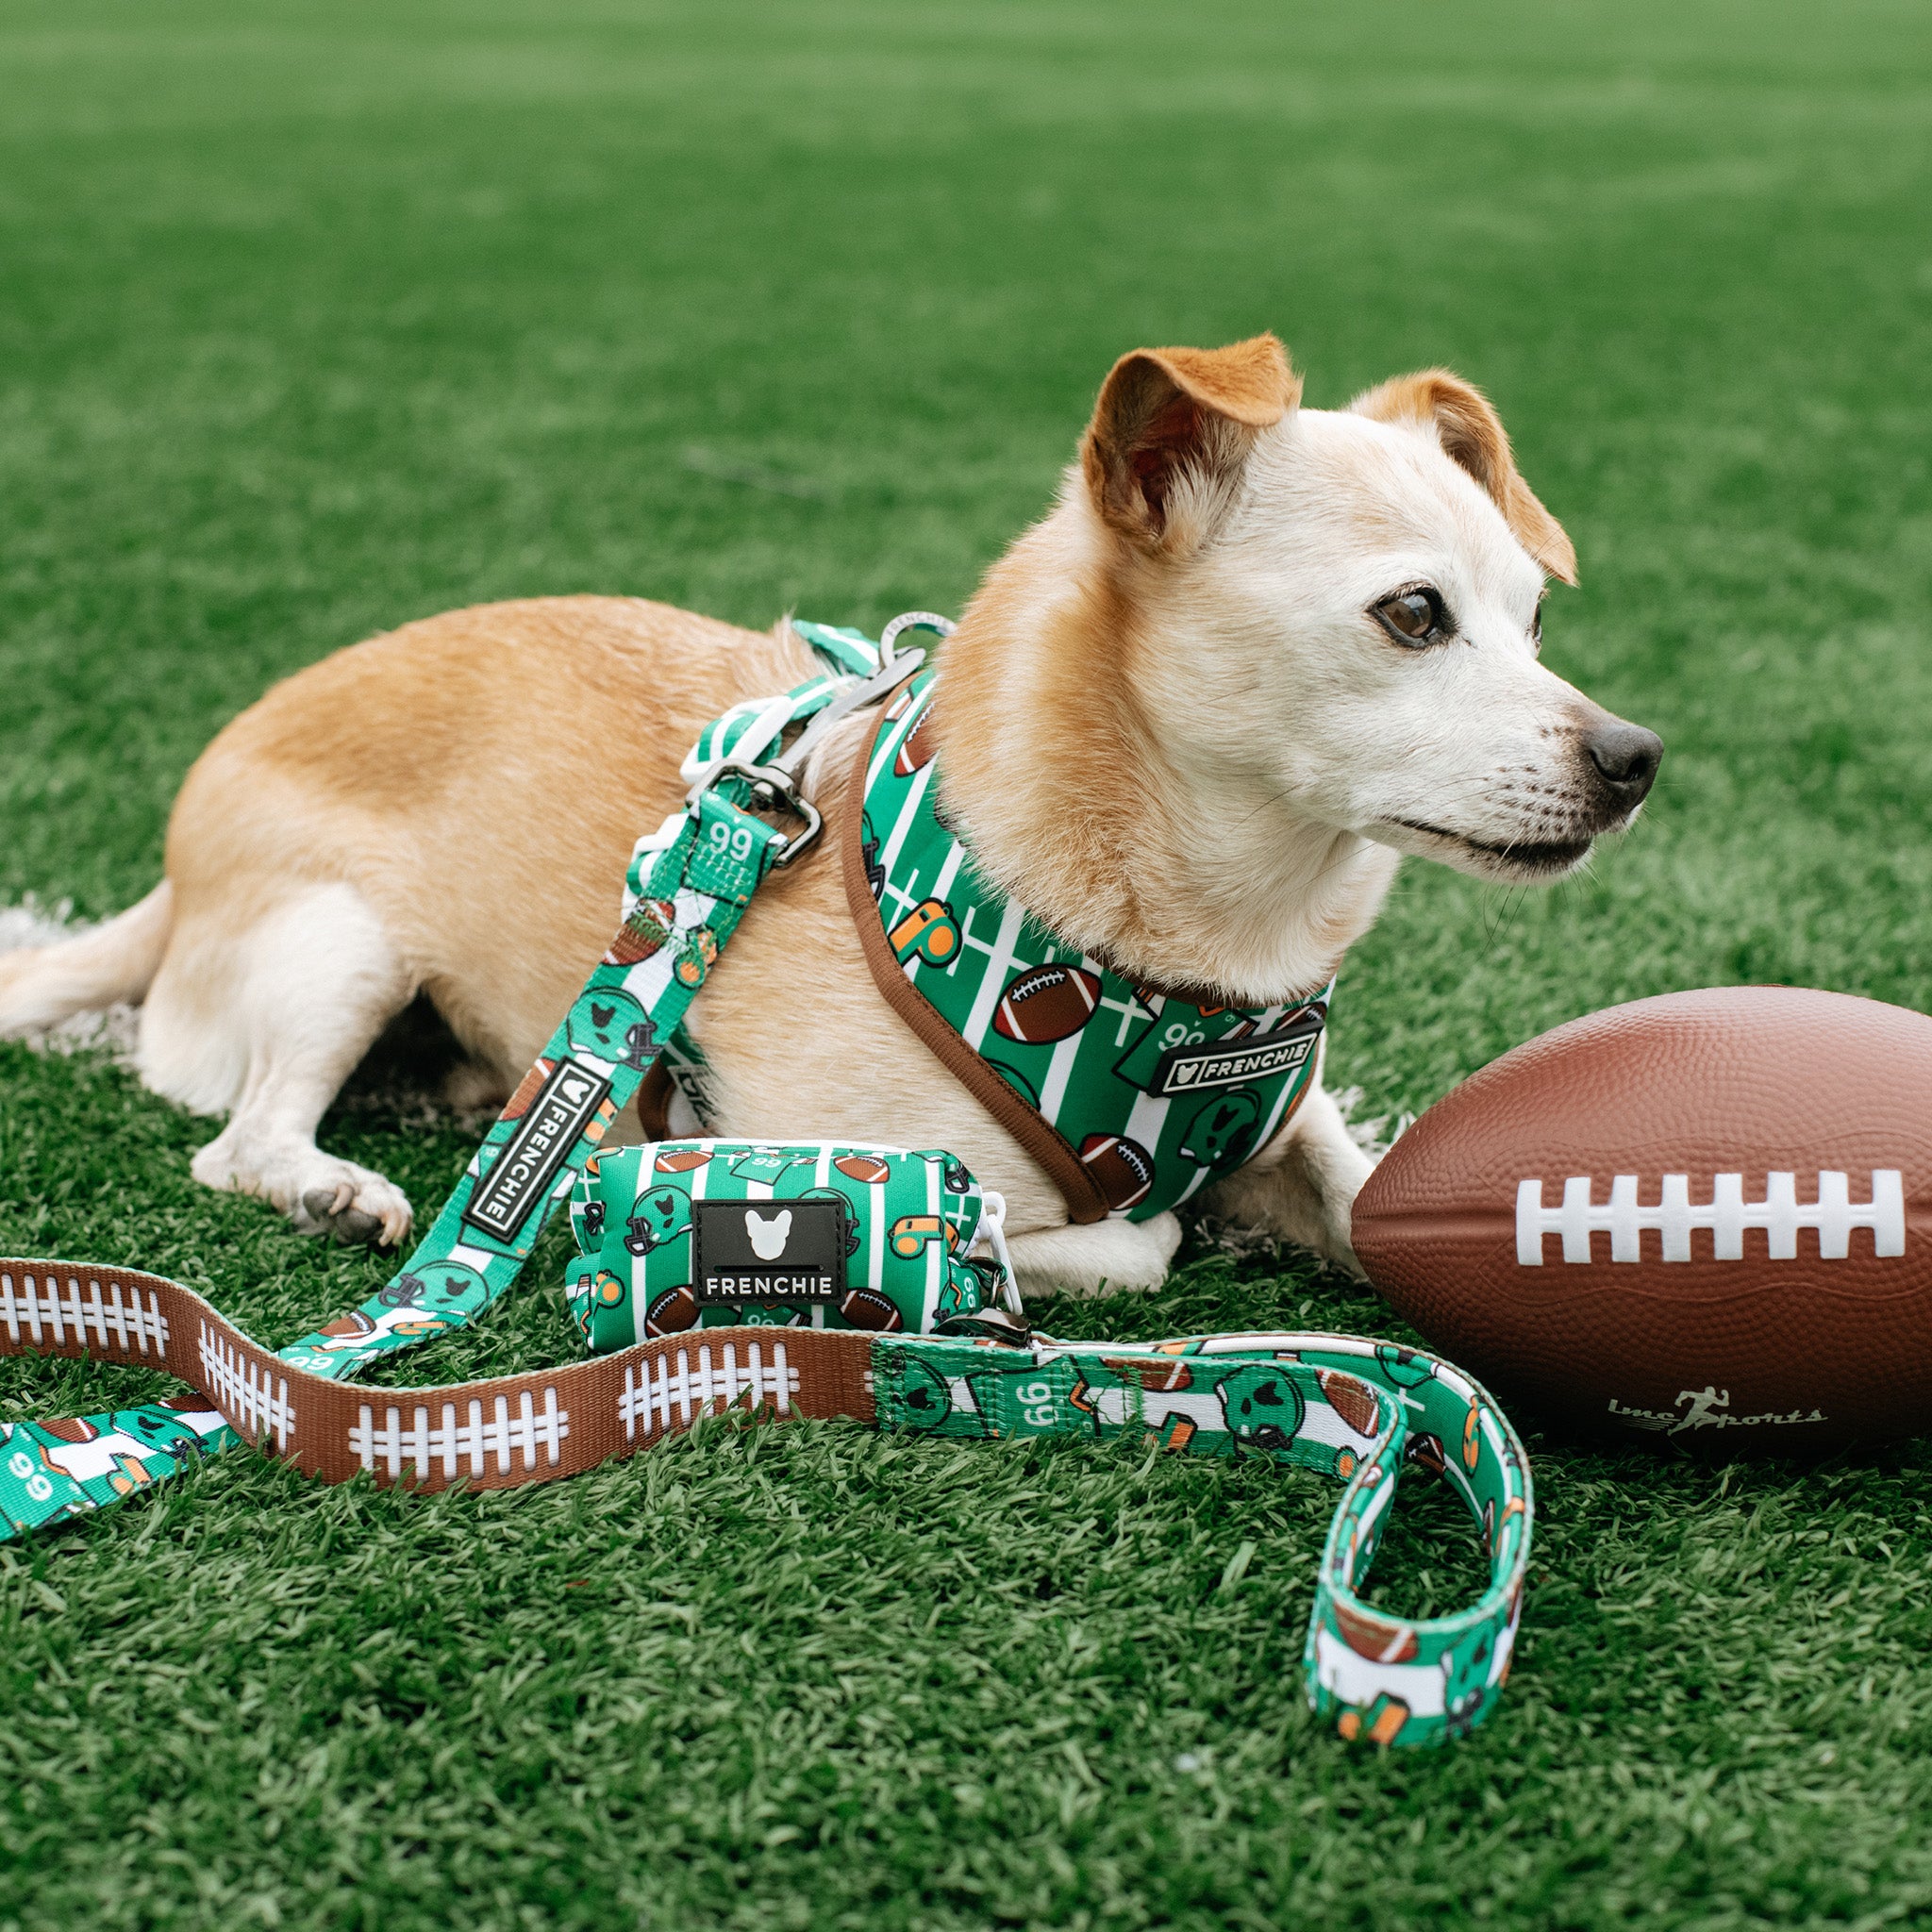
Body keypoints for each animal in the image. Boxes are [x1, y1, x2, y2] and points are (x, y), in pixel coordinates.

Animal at [0, 336, 1661, 1298]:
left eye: (1532, 617)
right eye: (1412, 616)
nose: (1636, 754)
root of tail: (170, 873)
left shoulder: (1291, 1113)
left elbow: (1362, 1189)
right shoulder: (827, 1170)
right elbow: (1132, 1241)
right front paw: (1160, 1234)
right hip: (337, 942)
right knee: (239, 1138)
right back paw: (328, 1186)